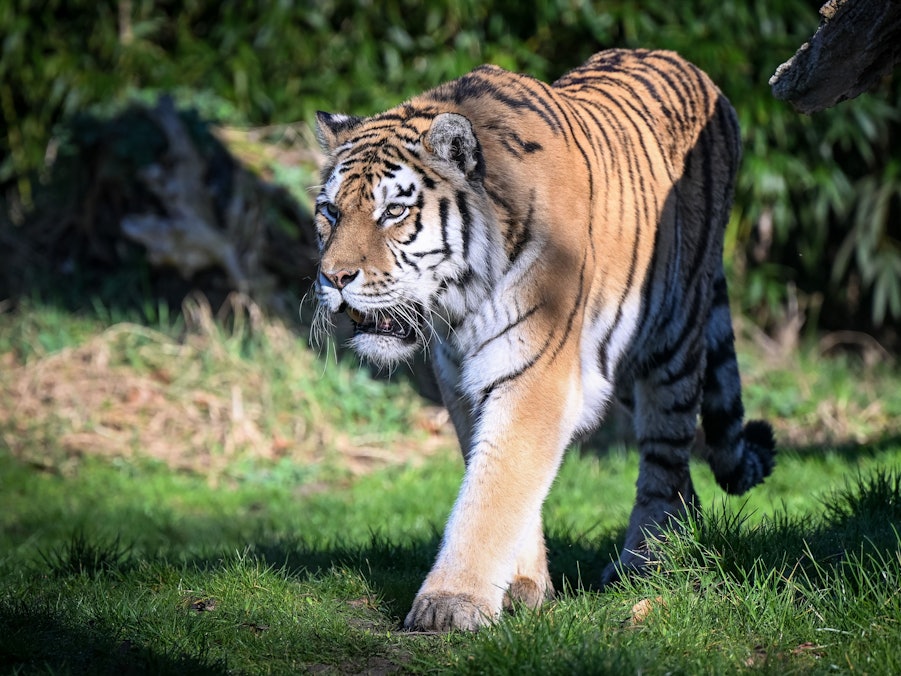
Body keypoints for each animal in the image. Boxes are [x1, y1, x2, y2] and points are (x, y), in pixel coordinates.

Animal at [312, 48, 776, 632]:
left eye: (394, 211)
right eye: (330, 212)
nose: (333, 277)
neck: (460, 305)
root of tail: (693, 68)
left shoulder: (535, 374)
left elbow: (494, 488)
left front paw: (451, 603)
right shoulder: (463, 382)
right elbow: (503, 478)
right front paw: (523, 588)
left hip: (672, 343)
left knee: (664, 462)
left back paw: (645, 565)